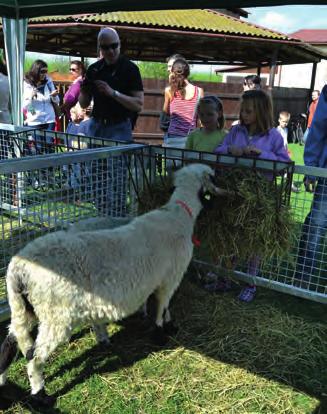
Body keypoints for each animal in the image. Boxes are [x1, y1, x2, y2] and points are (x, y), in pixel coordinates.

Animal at [0, 163, 226, 406]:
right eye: (214, 177)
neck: (178, 214)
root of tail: (18, 269)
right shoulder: (170, 278)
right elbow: (163, 306)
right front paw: (162, 332)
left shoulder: (160, 279)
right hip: (55, 314)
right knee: (34, 358)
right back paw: (41, 395)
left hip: (24, 307)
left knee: (11, 341)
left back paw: (3, 382)